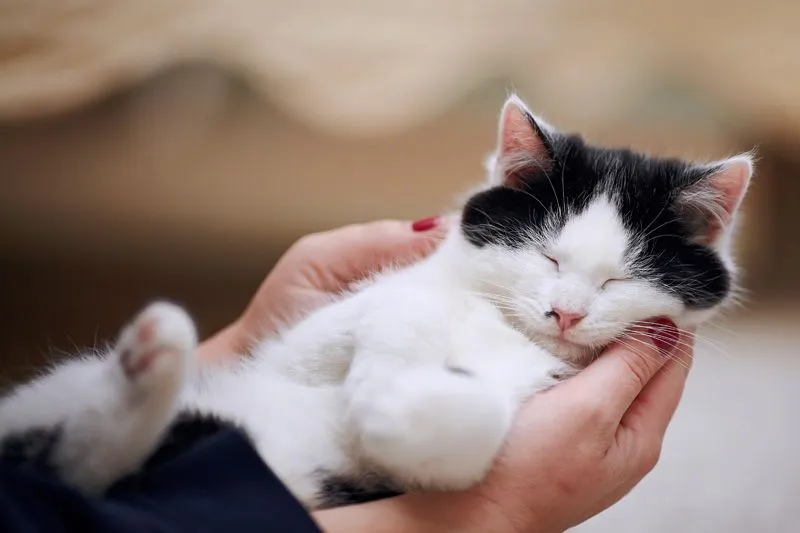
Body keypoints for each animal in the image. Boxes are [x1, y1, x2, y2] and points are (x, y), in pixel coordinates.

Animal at [0, 94, 752, 508]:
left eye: (619, 279)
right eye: (548, 255)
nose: (565, 311)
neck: (505, 332)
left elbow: (468, 427)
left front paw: (387, 404)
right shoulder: (297, 344)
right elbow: (398, 307)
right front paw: (396, 348)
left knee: (73, 470)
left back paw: (152, 360)